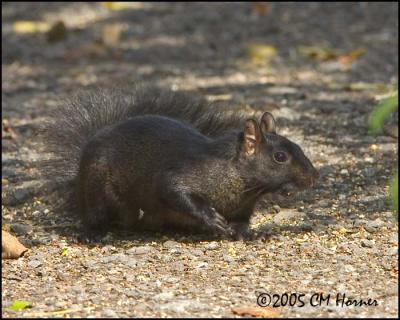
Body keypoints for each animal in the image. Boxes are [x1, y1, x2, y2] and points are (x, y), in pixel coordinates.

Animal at [41, 85, 318, 240]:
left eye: (299, 146)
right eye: (279, 157)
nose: (314, 178)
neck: (240, 181)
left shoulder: (243, 207)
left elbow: (241, 222)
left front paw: (243, 234)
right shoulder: (180, 175)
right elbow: (175, 192)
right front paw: (212, 220)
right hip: (95, 185)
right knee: (92, 213)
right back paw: (93, 234)